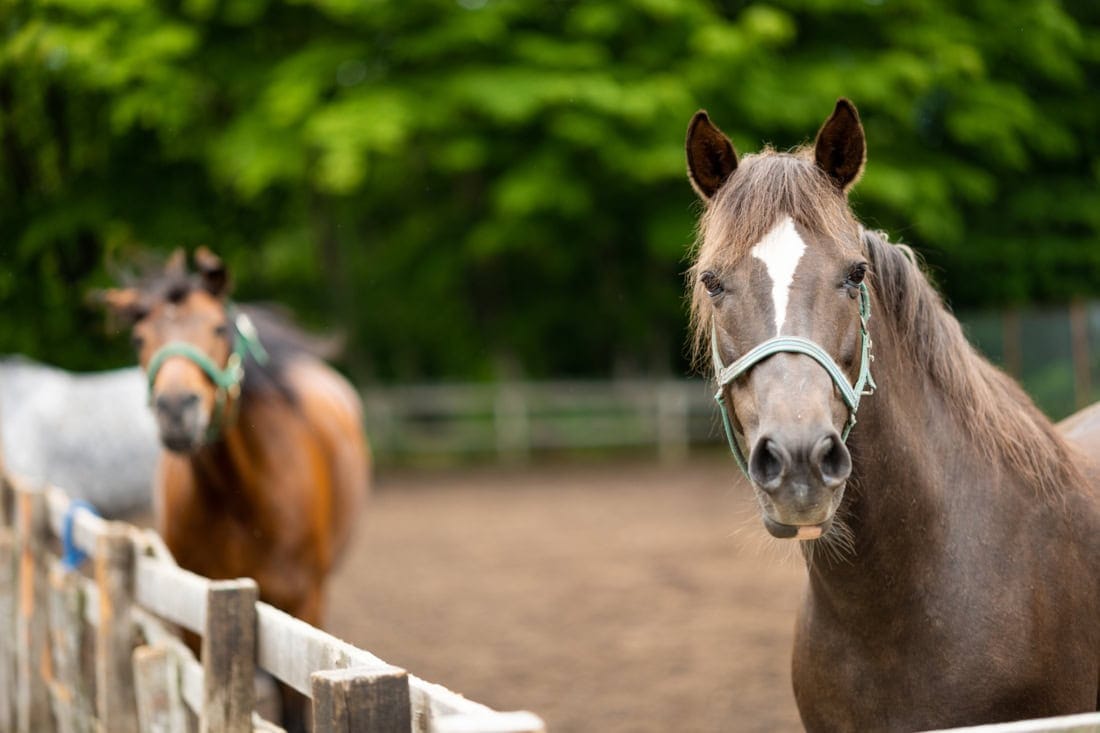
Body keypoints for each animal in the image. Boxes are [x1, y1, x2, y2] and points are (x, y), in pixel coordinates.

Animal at [98, 248, 370, 730]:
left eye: (219, 328)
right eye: (137, 338)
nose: (176, 409)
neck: (240, 498)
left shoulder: (302, 607)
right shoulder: (192, 610)